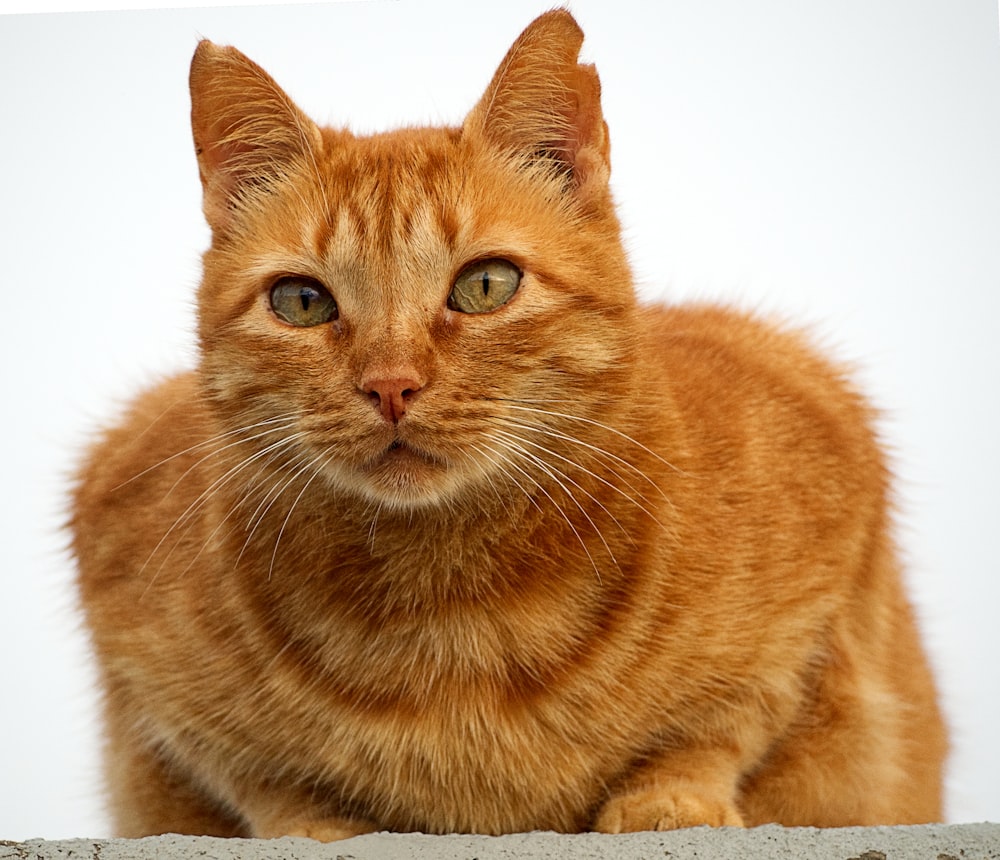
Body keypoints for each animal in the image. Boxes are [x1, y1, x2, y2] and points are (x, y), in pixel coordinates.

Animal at [70, 6, 944, 840]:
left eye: (486, 285)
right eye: (303, 301)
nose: (391, 385)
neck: (450, 611)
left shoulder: (821, 512)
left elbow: (724, 722)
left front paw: (668, 799)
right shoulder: (133, 618)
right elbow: (254, 777)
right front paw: (314, 824)